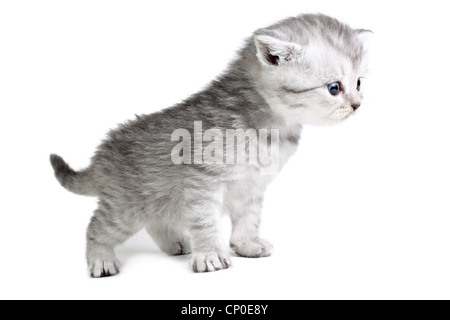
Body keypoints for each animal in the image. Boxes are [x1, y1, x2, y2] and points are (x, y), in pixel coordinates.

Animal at [51, 13, 370, 276]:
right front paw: (209, 255)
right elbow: (205, 221)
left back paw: (175, 243)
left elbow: (249, 218)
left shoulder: (253, 185)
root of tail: (102, 153)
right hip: (125, 207)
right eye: (334, 88)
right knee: (97, 227)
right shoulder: (202, 180)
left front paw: (246, 244)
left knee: (156, 219)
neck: (270, 127)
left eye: (359, 83)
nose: (357, 105)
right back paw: (101, 260)